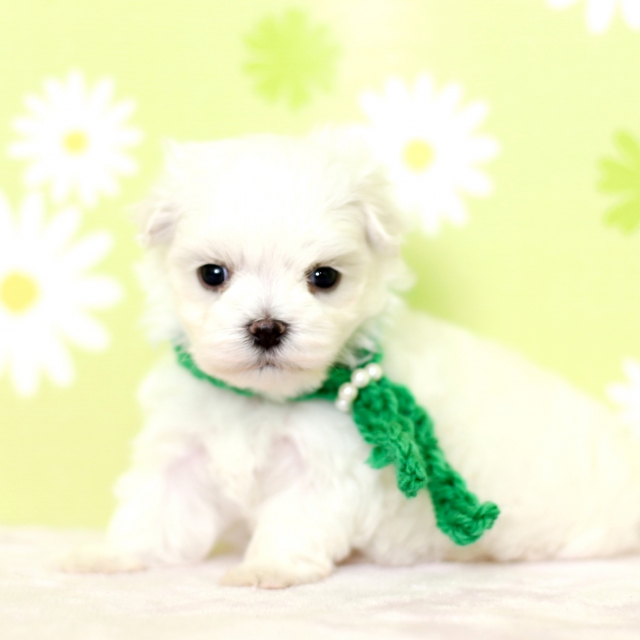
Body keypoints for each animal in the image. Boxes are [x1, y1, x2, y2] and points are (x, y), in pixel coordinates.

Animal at [62, 130, 640, 588]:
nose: (267, 327)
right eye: (212, 274)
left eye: (324, 277)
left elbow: (294, 518)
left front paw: (266, 568)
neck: (264, 400)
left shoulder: (327, 464)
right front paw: (111, 555)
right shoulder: (181, 446)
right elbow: (154, 508)